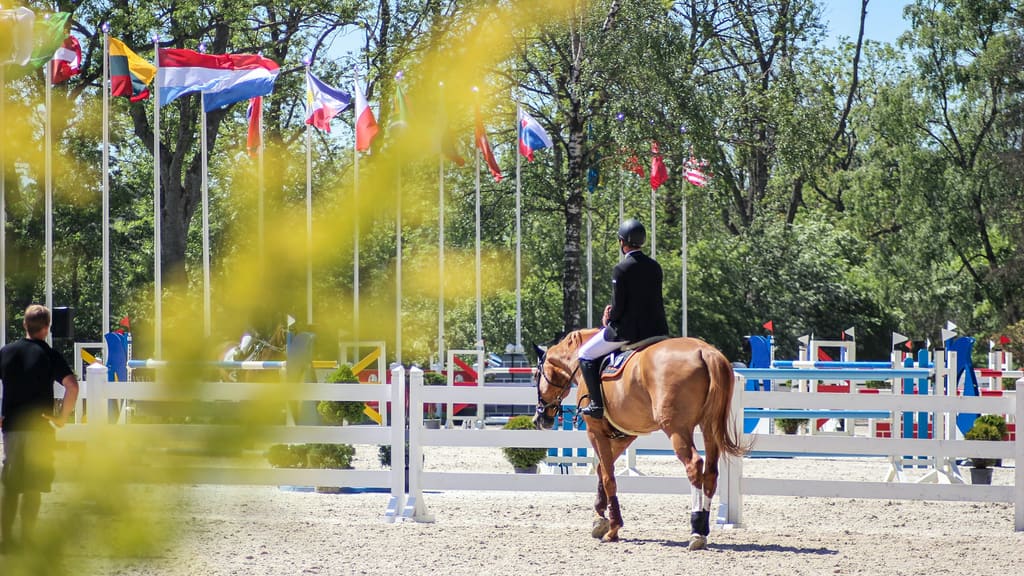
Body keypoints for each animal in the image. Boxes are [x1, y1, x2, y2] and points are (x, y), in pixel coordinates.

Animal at [532, 328, 747, 549]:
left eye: (536, 375)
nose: (540, 419)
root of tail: (706, 352)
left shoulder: (595, 431)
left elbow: (608, 476)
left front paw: (612, 528)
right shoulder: (625, 435)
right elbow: (602, 470)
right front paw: (600, 518)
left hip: (677, 429)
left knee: (694, 466)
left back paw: (696, 531)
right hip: (709, 427)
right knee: (711, 473)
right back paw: (703, 527)